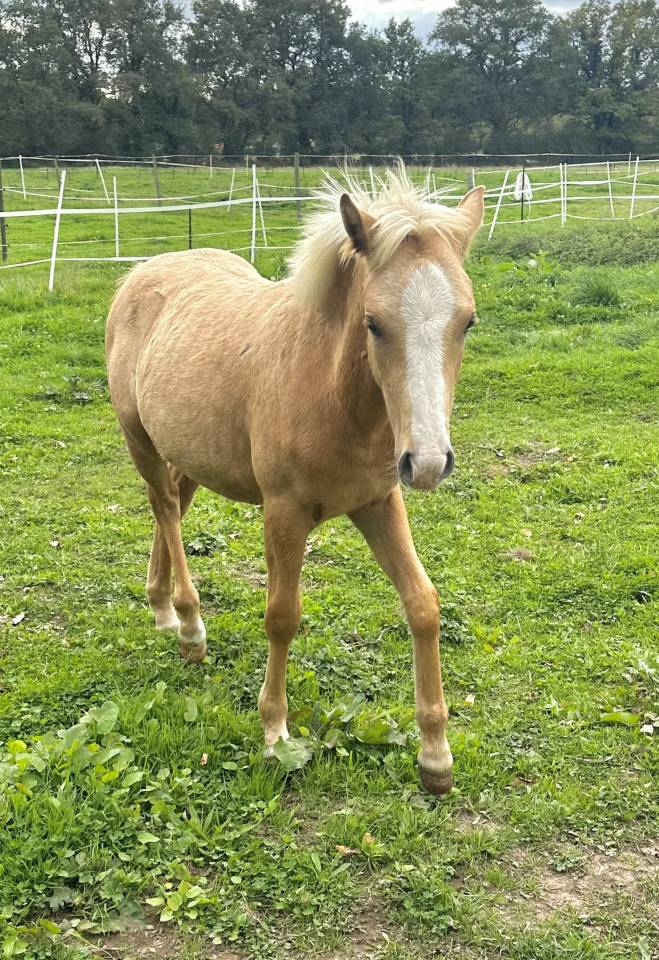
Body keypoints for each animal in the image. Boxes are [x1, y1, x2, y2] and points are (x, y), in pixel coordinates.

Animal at [105, 167, 484, 795]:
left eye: (467, 321)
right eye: (374, 323)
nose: (428, 462)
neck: (330, 392)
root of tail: (140, 273)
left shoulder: (379, 501)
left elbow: (423, 604)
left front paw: (436, 756)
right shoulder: (283, 512)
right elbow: (282, 617)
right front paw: (274, 732)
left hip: (190, 450)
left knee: (174, 505)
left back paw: (161, 607)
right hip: (139, 439)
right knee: (164, 507)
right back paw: (188, 625)